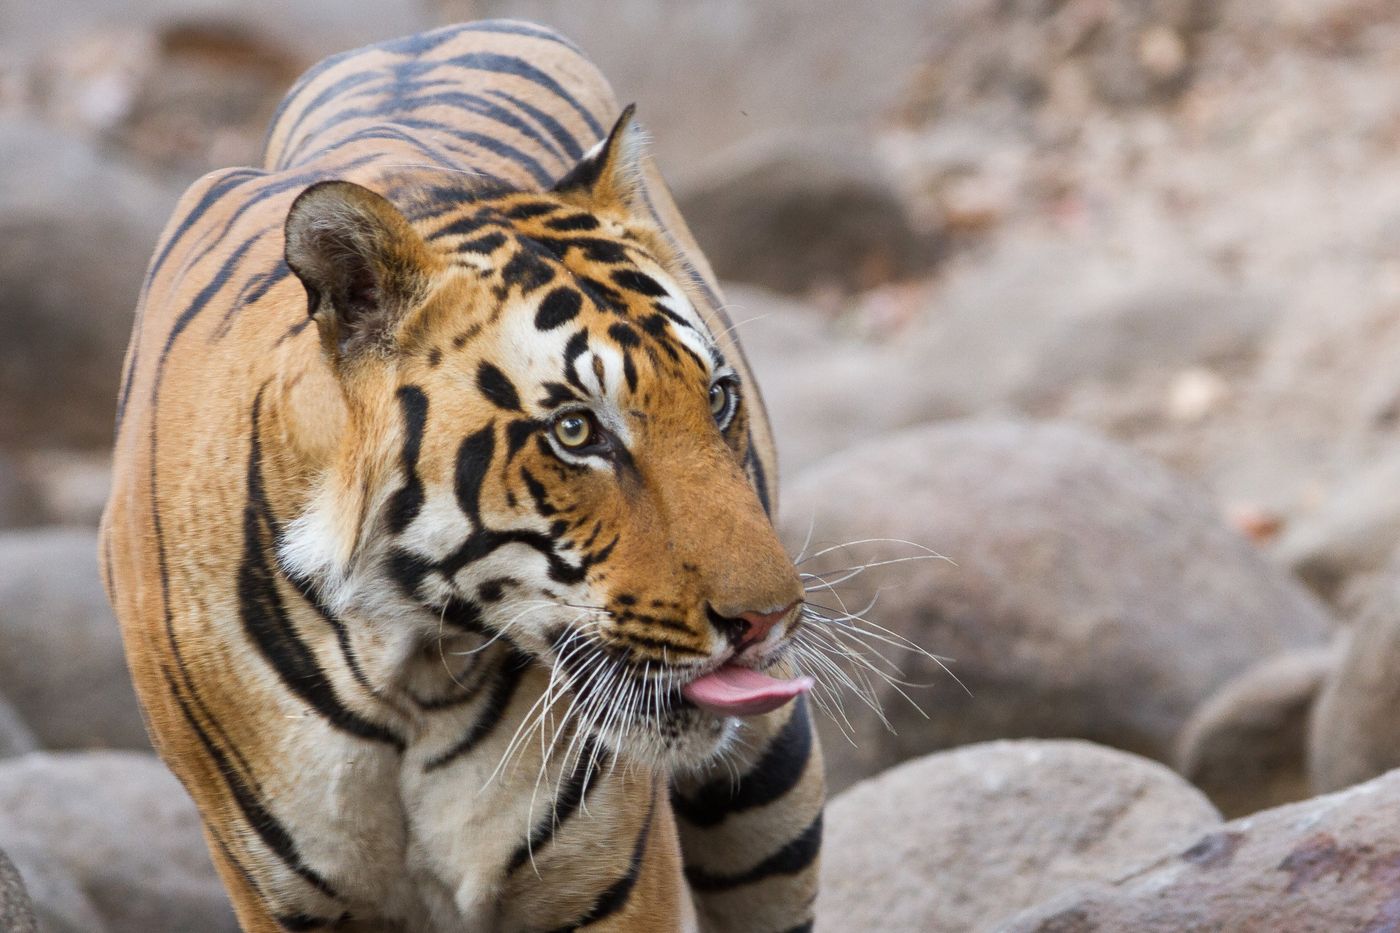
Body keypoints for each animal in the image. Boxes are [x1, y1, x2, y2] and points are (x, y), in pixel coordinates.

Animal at [101, 16, 828, 930]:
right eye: (577, 430)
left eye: (718, 398)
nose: (769, 619)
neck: (406, 662)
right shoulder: (274, 890)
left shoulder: (606, 882)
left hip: (768, 788)